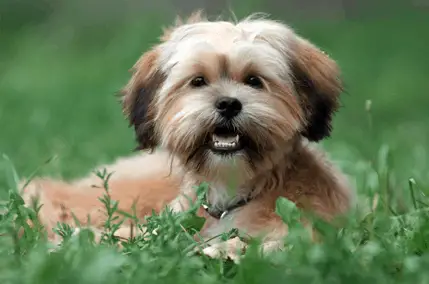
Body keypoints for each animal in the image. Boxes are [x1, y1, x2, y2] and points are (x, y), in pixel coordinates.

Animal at [20, 11, 352, 260]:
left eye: (254, 81)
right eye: (198, 81)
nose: (228, 104)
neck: (230, 196)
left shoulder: (312, 233)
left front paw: (223, 250)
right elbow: (138, 234)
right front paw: (85, 239)